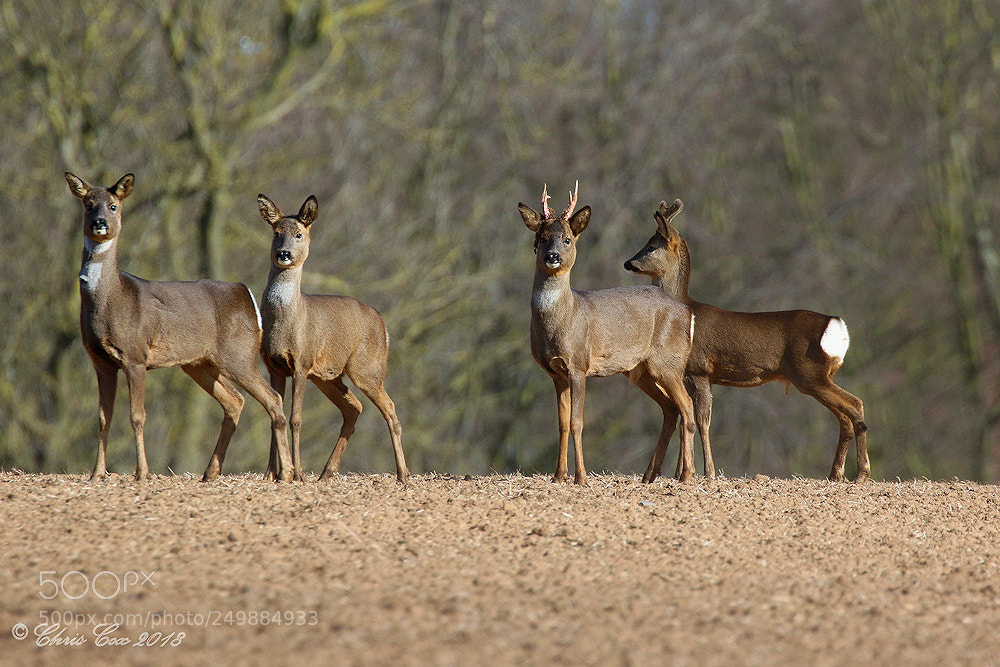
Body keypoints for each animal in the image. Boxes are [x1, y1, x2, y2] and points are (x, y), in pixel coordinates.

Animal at [65, 172, 294, 483]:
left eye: (113, 206)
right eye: (88, 204)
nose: (99, 222)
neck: (112, 300)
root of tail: (247, 295)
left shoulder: (135, 355)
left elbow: (137, 416)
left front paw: (142, 473)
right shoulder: (100, 360)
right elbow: (103, 417)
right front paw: (96, 474)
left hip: (238, 354)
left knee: (272, 399)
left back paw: (288, 473)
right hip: (199, 363)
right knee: (235, 400)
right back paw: (210, 473)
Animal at [256, 194, 409, 484]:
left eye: (299, 234)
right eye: (276, 233)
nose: (284, 254)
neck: (287, 321)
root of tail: (382, 324)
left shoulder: (302, 362)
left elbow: (295, 418)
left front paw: (297, 474)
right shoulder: (274, 366)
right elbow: (274, 414)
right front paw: (272, 474)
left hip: (367, 368)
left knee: (390, 407)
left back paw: (403, 475)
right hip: (328, 375)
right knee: (354, 408)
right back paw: (326, 472)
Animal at [520, 183, 698, 486]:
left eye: (567, 239)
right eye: (541, 238)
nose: (552, 257)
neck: (566, 318)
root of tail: (687, 312)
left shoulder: (578, 365)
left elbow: (577, 422)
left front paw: (581, 478)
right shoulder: (555, 372)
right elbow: (562, 423)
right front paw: (558, 476)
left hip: (668, 362)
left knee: (686, 407)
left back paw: (687, 476)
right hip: (641, 370)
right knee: (671, 408)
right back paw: (650, 476)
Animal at [624, 199, 870, 483]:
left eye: (651, 246)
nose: (628, 263)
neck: (684, 306)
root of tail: (836, 324)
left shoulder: (699, 369)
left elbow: (703, 420)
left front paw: (707, 472)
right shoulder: (693, 374)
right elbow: (692, 417)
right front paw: (682, 473)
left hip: (809, 373)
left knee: (854, 404)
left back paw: (861, 473)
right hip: (819, 375)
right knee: (844, 415)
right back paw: (836, 474)